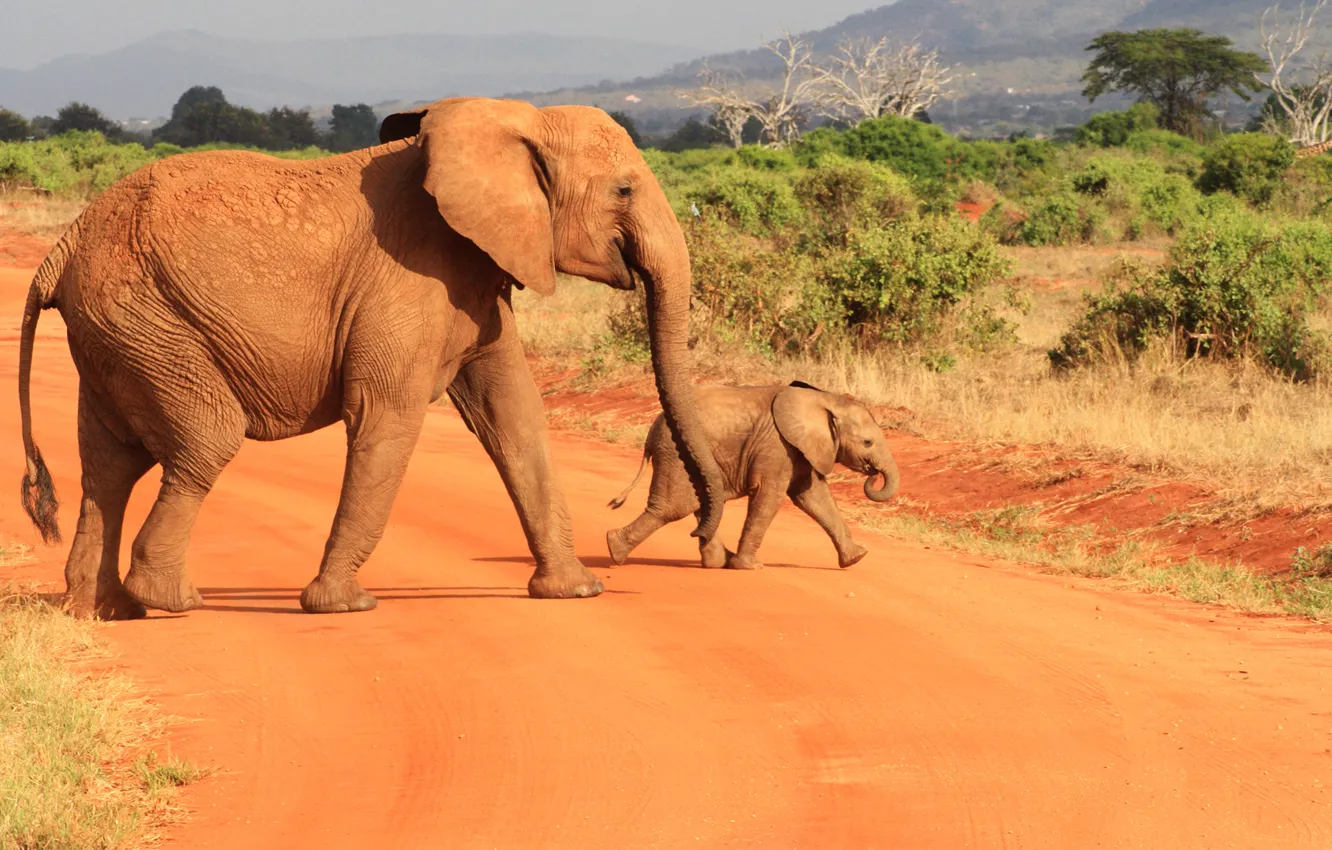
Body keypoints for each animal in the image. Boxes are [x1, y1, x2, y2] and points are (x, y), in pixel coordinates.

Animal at [16, 96, 727, 620]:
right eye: (625, 190)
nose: (705, 547)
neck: (515, 121)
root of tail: (63, 247)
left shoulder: (474, 275)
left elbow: (514, 417)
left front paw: (574, 592)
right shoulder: (411, 276)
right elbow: (386, 416)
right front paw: (344, 606)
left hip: (119, 333)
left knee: (111, 462)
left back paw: (104, 609)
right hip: (150, 320)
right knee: (204, 440)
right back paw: (169, 600)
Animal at [605, 381, 900, 571]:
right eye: (868, 443)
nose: (873, 475)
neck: (824, 400)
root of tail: (651, 430)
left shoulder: (799, 450)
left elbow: (814, 497)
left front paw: (857, 557)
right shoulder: (777, 447)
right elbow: (770, 495)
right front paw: (750, 566)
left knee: (701, 502)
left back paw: (717, 562)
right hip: (676, 455)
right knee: (670, 508)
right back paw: (614, 549)